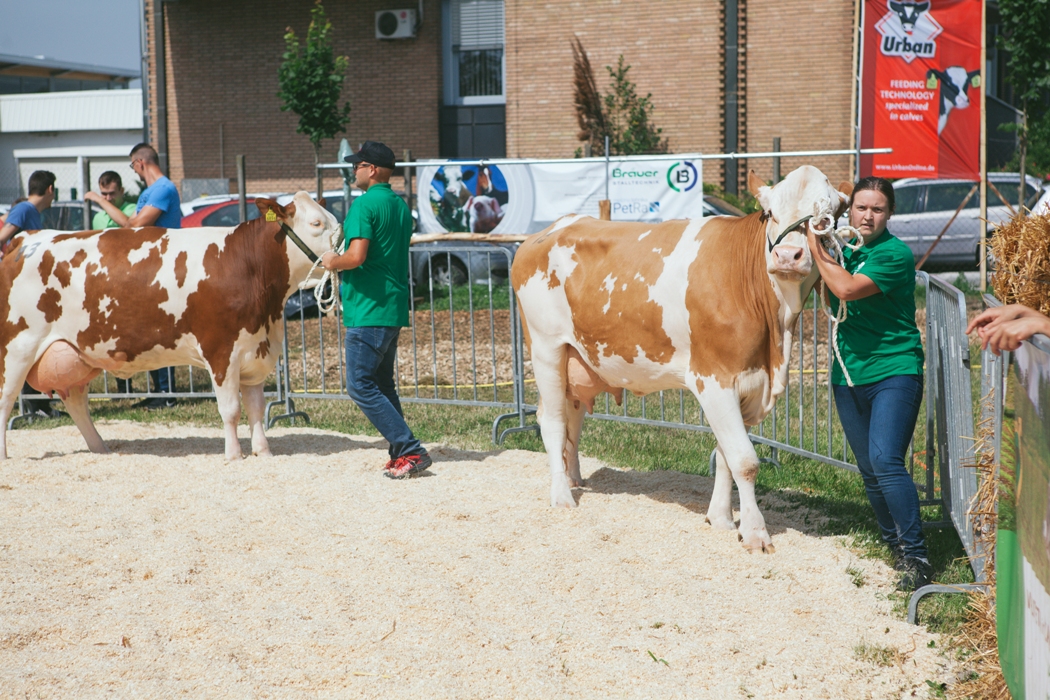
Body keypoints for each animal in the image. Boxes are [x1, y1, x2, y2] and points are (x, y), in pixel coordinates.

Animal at [0, 192, 338, 461]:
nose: (342, 247)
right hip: (17, 348)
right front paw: (233, 455)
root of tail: (25, 239)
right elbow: (231, 410)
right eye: (316, 224)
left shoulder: (255, 351)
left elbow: (256, 409)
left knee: (76, 401)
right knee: (6, 399)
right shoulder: (221, 350)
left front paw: (263, 452)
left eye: (334, 221)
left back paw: (100, 449)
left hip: (77, 355)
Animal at [511, 165, 851, 553]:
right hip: (546, 346)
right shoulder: (713, 378)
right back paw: (562, 496)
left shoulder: (749, 383)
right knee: (552, 421)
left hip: (579, 357)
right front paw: (755, 533)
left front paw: (720, 519)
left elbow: (725, 457)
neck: (775, 336)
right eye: (771, 214)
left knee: (573, 417)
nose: (788, 256)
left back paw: (573, 479)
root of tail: (551, 228)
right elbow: (744, 460)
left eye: (824, 220)